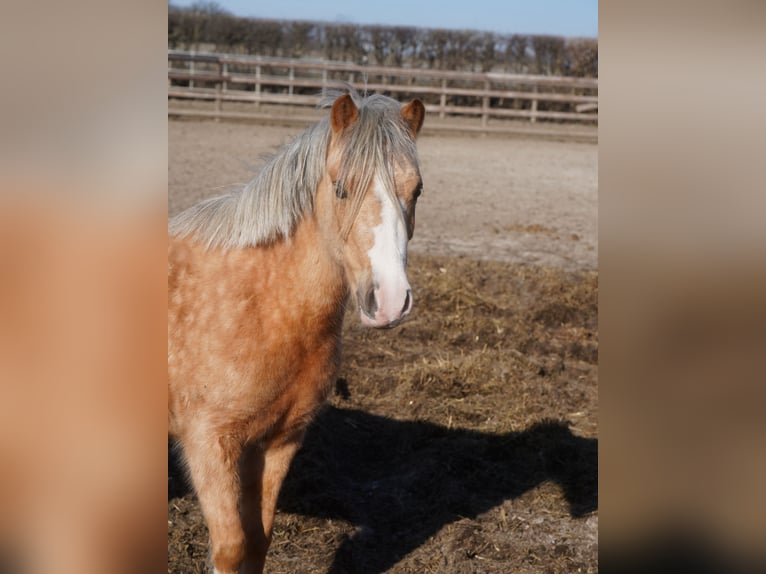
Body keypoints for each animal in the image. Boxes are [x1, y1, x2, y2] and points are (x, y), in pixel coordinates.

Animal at [167, 91, 426, 574]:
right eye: (341, 188)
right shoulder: (209, 444)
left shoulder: (279, 441)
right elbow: (230, 547)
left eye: (416, 190)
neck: (262, 302)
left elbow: (258, 540)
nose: (389, 300)